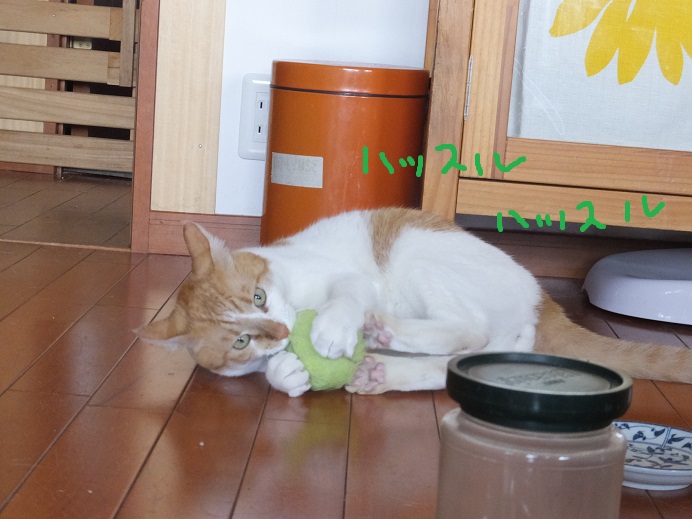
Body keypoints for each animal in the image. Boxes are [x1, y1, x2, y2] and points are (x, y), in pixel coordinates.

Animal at [137, 207, 692, 396]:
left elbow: (345, 296)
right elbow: (269, 371)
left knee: (470, 329)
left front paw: (330, 330)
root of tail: (540, 297)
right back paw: (383, 371)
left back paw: (384, 331)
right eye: (241, 342)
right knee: (470, 356)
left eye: (258, 295)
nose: (280, 333)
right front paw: (285, 372)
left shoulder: (346, 278)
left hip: (419, 257)